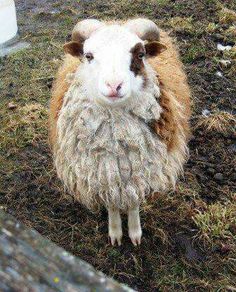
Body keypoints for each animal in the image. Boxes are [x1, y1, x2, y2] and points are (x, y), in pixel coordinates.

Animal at [48, 17, 191, 246]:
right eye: (88, 56)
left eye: (140, 55)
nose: (114, 86)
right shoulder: (103, 175)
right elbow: (112, 204)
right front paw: (115, 234)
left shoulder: (139, 173)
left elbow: (133, 203)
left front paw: (134, 234)